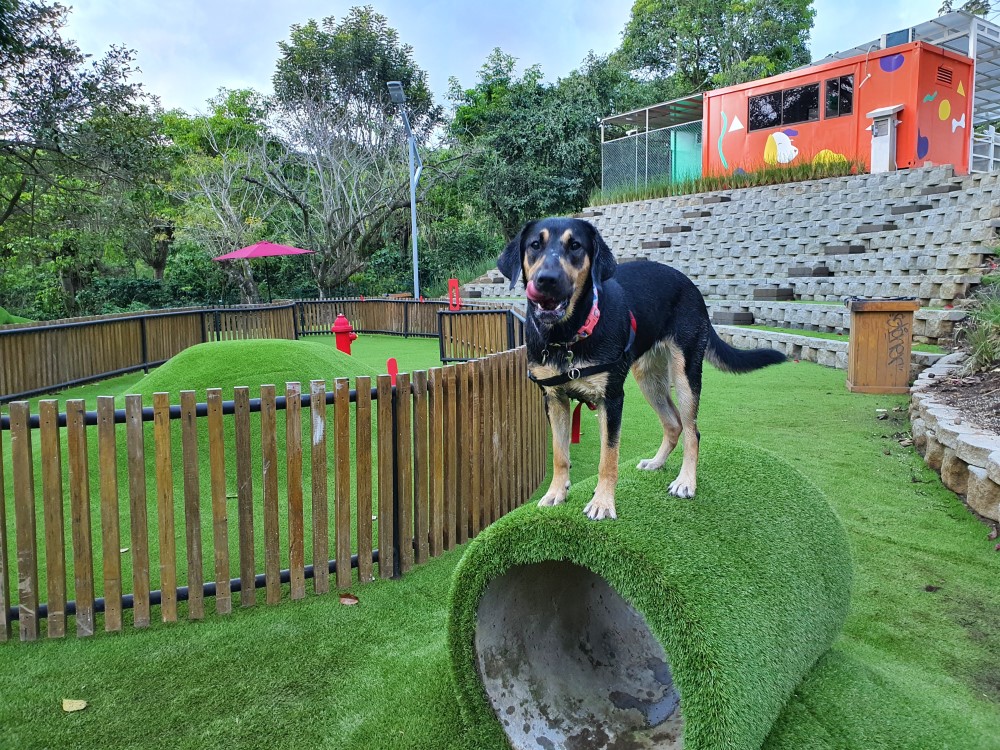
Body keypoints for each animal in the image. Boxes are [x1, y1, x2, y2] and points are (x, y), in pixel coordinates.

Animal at [504, 217, 784, 524]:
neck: (567, 337)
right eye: (535, 245)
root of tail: (690, 285)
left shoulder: (611, 398)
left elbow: (608, 457)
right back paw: (657, 463)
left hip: (685, 375)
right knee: (673, 424)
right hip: (649, 379)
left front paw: (603, 503)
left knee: (692, 431)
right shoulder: (555, 399)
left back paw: (686, 481)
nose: (546, 280)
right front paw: (556, 493)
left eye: (575, 245)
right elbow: (559, 454)